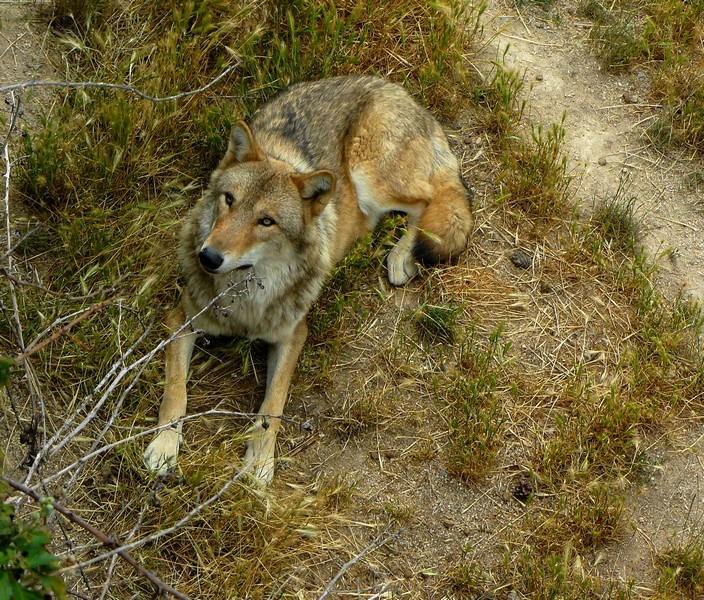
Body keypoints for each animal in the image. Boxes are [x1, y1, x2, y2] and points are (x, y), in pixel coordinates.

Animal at [143, 75, 473, 484]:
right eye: (229, 200)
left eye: (266, 221)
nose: (208, 257)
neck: (245, 297)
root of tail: (397, 90)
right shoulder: (182, 320)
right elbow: (176, 391)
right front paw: (163, 448)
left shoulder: (293, 336)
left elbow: (272, 406)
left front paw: (259, 464)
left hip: (371, 181)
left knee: (434, 199)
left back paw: (402, 257)